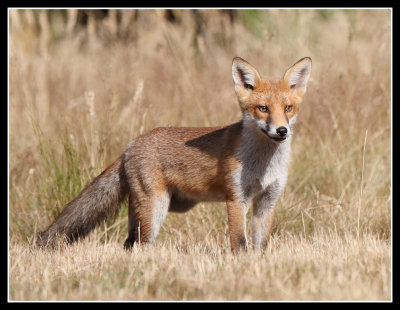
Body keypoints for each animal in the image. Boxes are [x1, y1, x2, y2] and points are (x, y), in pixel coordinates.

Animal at [36, 57, 312, 253]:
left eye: (288, 108)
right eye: (262, 109)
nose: (282, 130)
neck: (263, 164)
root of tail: (131, 145)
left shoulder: (267, 201)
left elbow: (261, 246)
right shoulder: (236, 199)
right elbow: (240, 245)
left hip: (150, 210)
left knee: (128, 244)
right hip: (155, 209)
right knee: (140, 246)